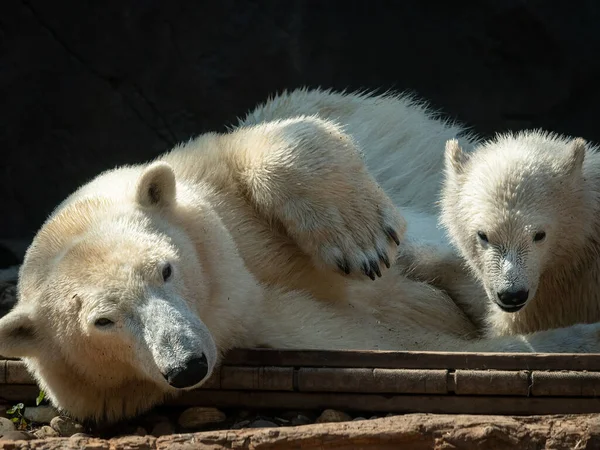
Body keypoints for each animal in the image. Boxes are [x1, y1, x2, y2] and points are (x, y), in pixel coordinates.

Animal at [1, 89, 600, 422]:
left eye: (165, 268)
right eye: (102, 321)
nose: (186, 364)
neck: (237, 284)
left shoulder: (212, 185)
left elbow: (276, 139)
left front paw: (365, 241)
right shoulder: (274, 331)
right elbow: (410, 341)